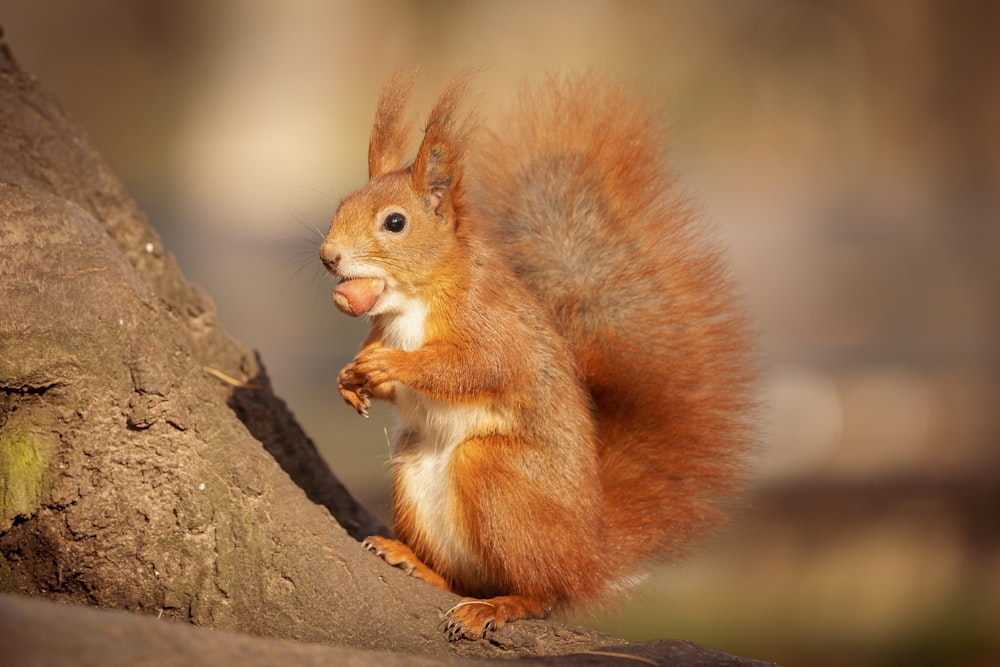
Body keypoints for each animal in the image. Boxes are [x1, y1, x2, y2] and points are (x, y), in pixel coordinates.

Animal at [316, 72, 752, 640]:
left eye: (395, 223)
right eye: (342, 204)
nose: (328, 257)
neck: (410, 301)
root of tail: (591, 555)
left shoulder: (492, 326)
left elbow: (473, 367)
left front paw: (390, 365)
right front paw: (349, 378)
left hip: (498, 479)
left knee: (542, 591)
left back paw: (499, 606)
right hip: (414, 474)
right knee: (465, 578)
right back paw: (414, 562)